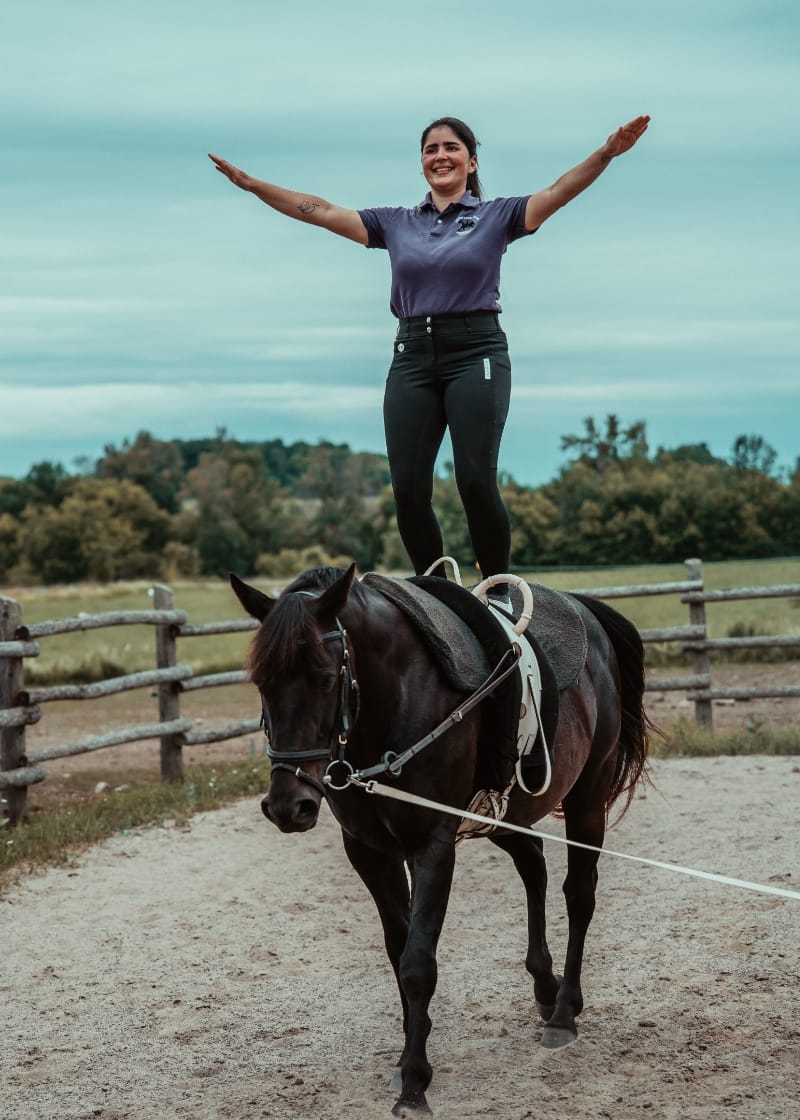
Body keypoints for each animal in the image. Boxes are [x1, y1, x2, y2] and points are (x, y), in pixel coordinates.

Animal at [228, 564, 649, 1115]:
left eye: (324, 677)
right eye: (261, 681)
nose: (287, 804)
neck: (389, 705)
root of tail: (585, 611)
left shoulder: (432, 845)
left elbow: (417, 963)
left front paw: (414, 1081)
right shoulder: (369, 852)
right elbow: (398, 948)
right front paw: (410, 1052)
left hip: (587, 797)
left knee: (579, 894)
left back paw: (563, 1012)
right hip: (502, 816)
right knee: (533, 862)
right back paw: (544, 984)